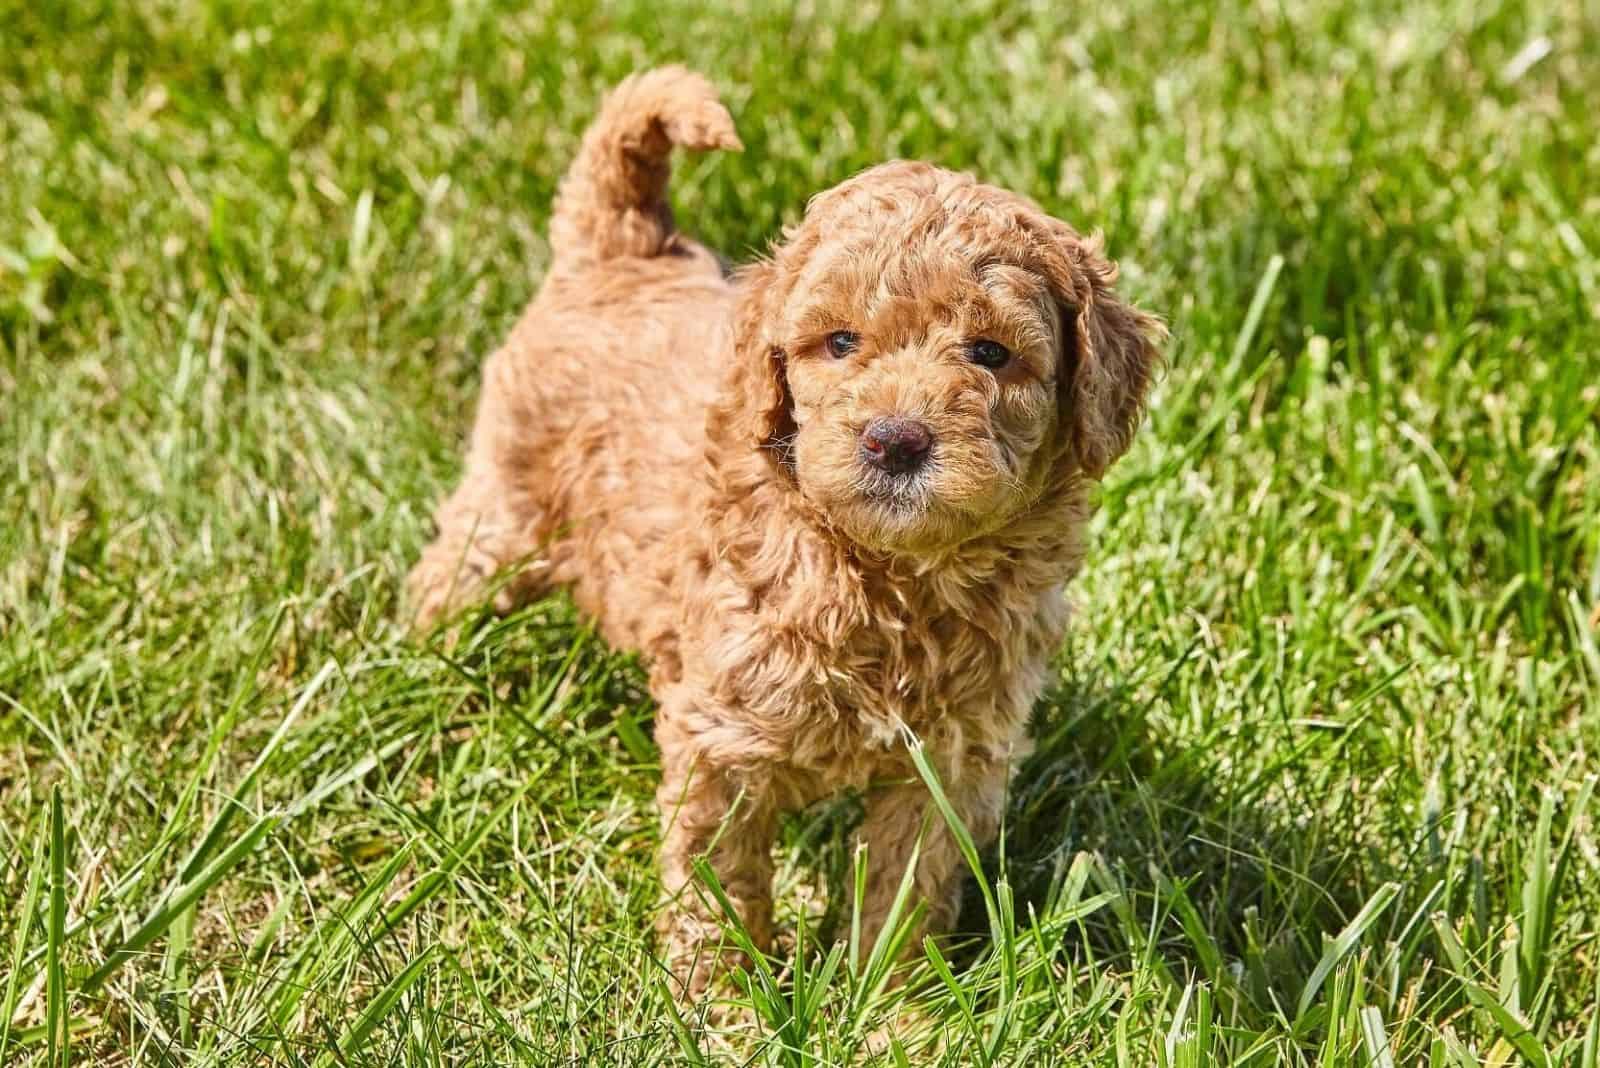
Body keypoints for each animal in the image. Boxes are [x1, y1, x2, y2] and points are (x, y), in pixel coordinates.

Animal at [409, 68, 1164, 1004]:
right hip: (504, 507)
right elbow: (718, 882)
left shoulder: (950, 760)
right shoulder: (722, 738)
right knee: (452, 578)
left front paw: (894, 1009)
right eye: (839, 343)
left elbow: (907, 891)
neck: (892, 578)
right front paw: (721, 1007)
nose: (895, 439)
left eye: (990, 353)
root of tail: (627, 249)